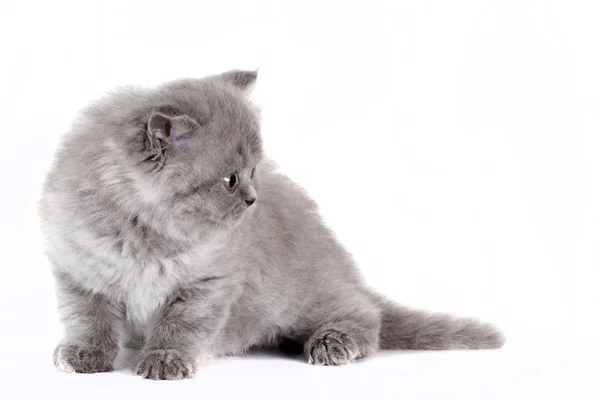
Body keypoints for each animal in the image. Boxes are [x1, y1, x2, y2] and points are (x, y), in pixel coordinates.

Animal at [39, 70, 504, 380]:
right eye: (230, 179)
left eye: (253, 171)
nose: (252, 199)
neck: (147, 234)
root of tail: (342, 262)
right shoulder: (78, 271)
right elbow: (88, 320)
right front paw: (84, 356)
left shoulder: (207, 284)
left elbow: (180, 326)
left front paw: (165, 359)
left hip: (307, 298)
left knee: (366, 314)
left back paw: (333, 343)